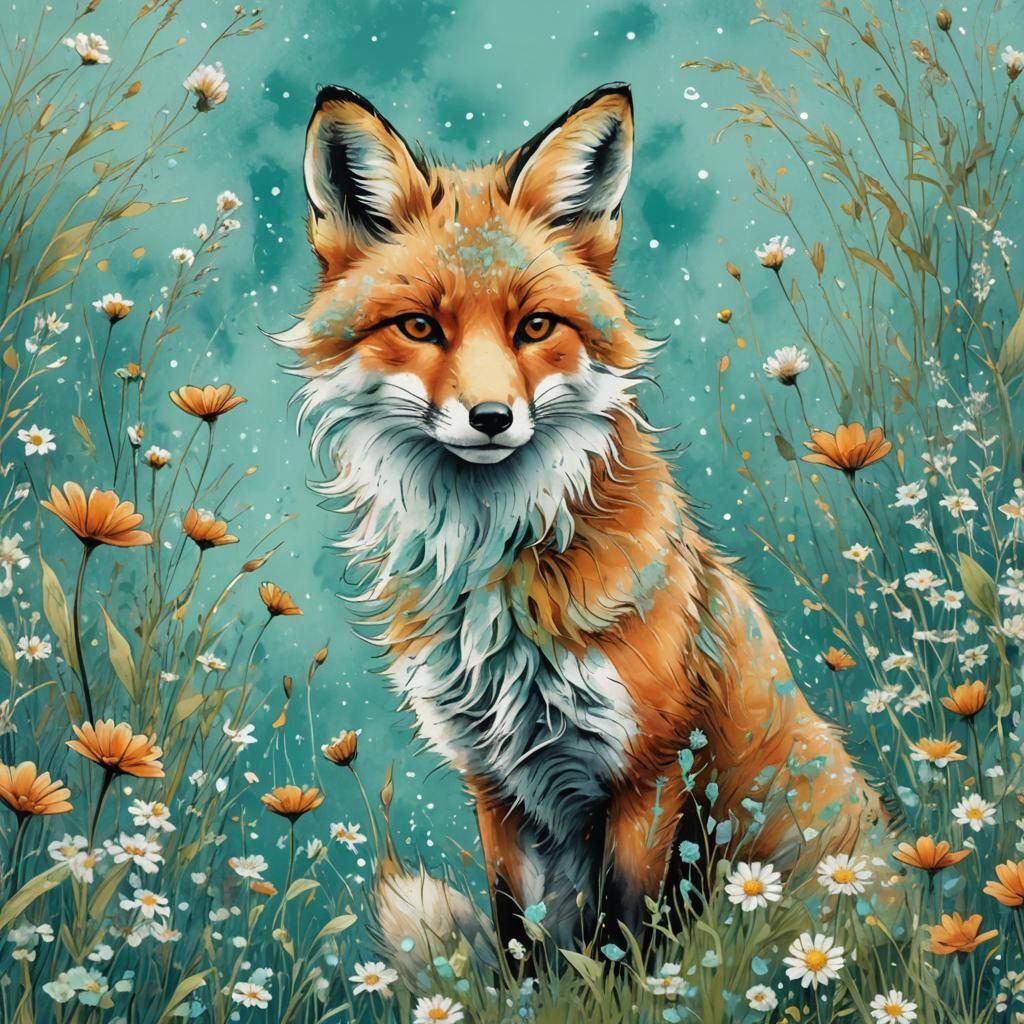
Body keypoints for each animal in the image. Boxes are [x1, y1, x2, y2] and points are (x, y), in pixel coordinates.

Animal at [275, 82, 892, 976]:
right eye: (420, 327)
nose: (491, 418)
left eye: (535, 327)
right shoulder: (497, 784)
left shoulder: (648, 773)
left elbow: (627, 944)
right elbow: (518, 940)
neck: (499, 569)